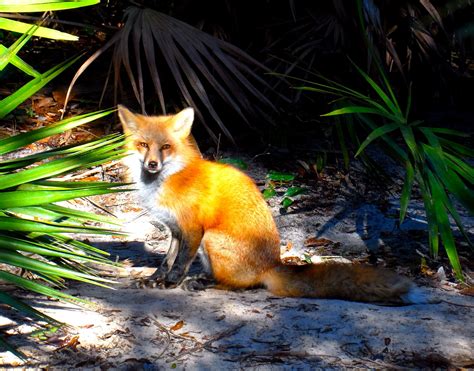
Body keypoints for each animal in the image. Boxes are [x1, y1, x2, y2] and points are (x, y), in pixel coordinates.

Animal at [117, 105, 426, 306]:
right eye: (143, 145)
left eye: (166, 147)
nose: (152, 164)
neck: (167, 180)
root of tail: (272, 264)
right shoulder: (174, 230)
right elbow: (166, 260)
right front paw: (155, 280)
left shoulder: (193, 229)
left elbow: (180, 263)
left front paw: (170, 284)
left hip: (211, 239)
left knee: (241, 285)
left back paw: (206, 284)